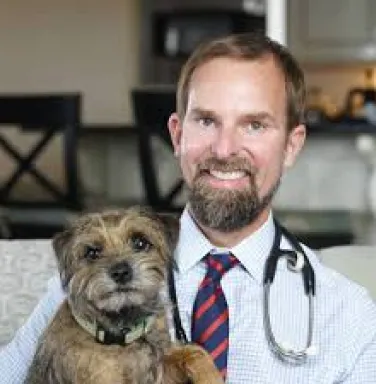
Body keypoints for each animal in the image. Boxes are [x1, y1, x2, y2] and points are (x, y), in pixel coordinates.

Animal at [25, 207, 223, 384]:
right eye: (92, 252)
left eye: (140, 243)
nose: (120, 272)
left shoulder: (161, 365)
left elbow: (193, 351)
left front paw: (211, 377)